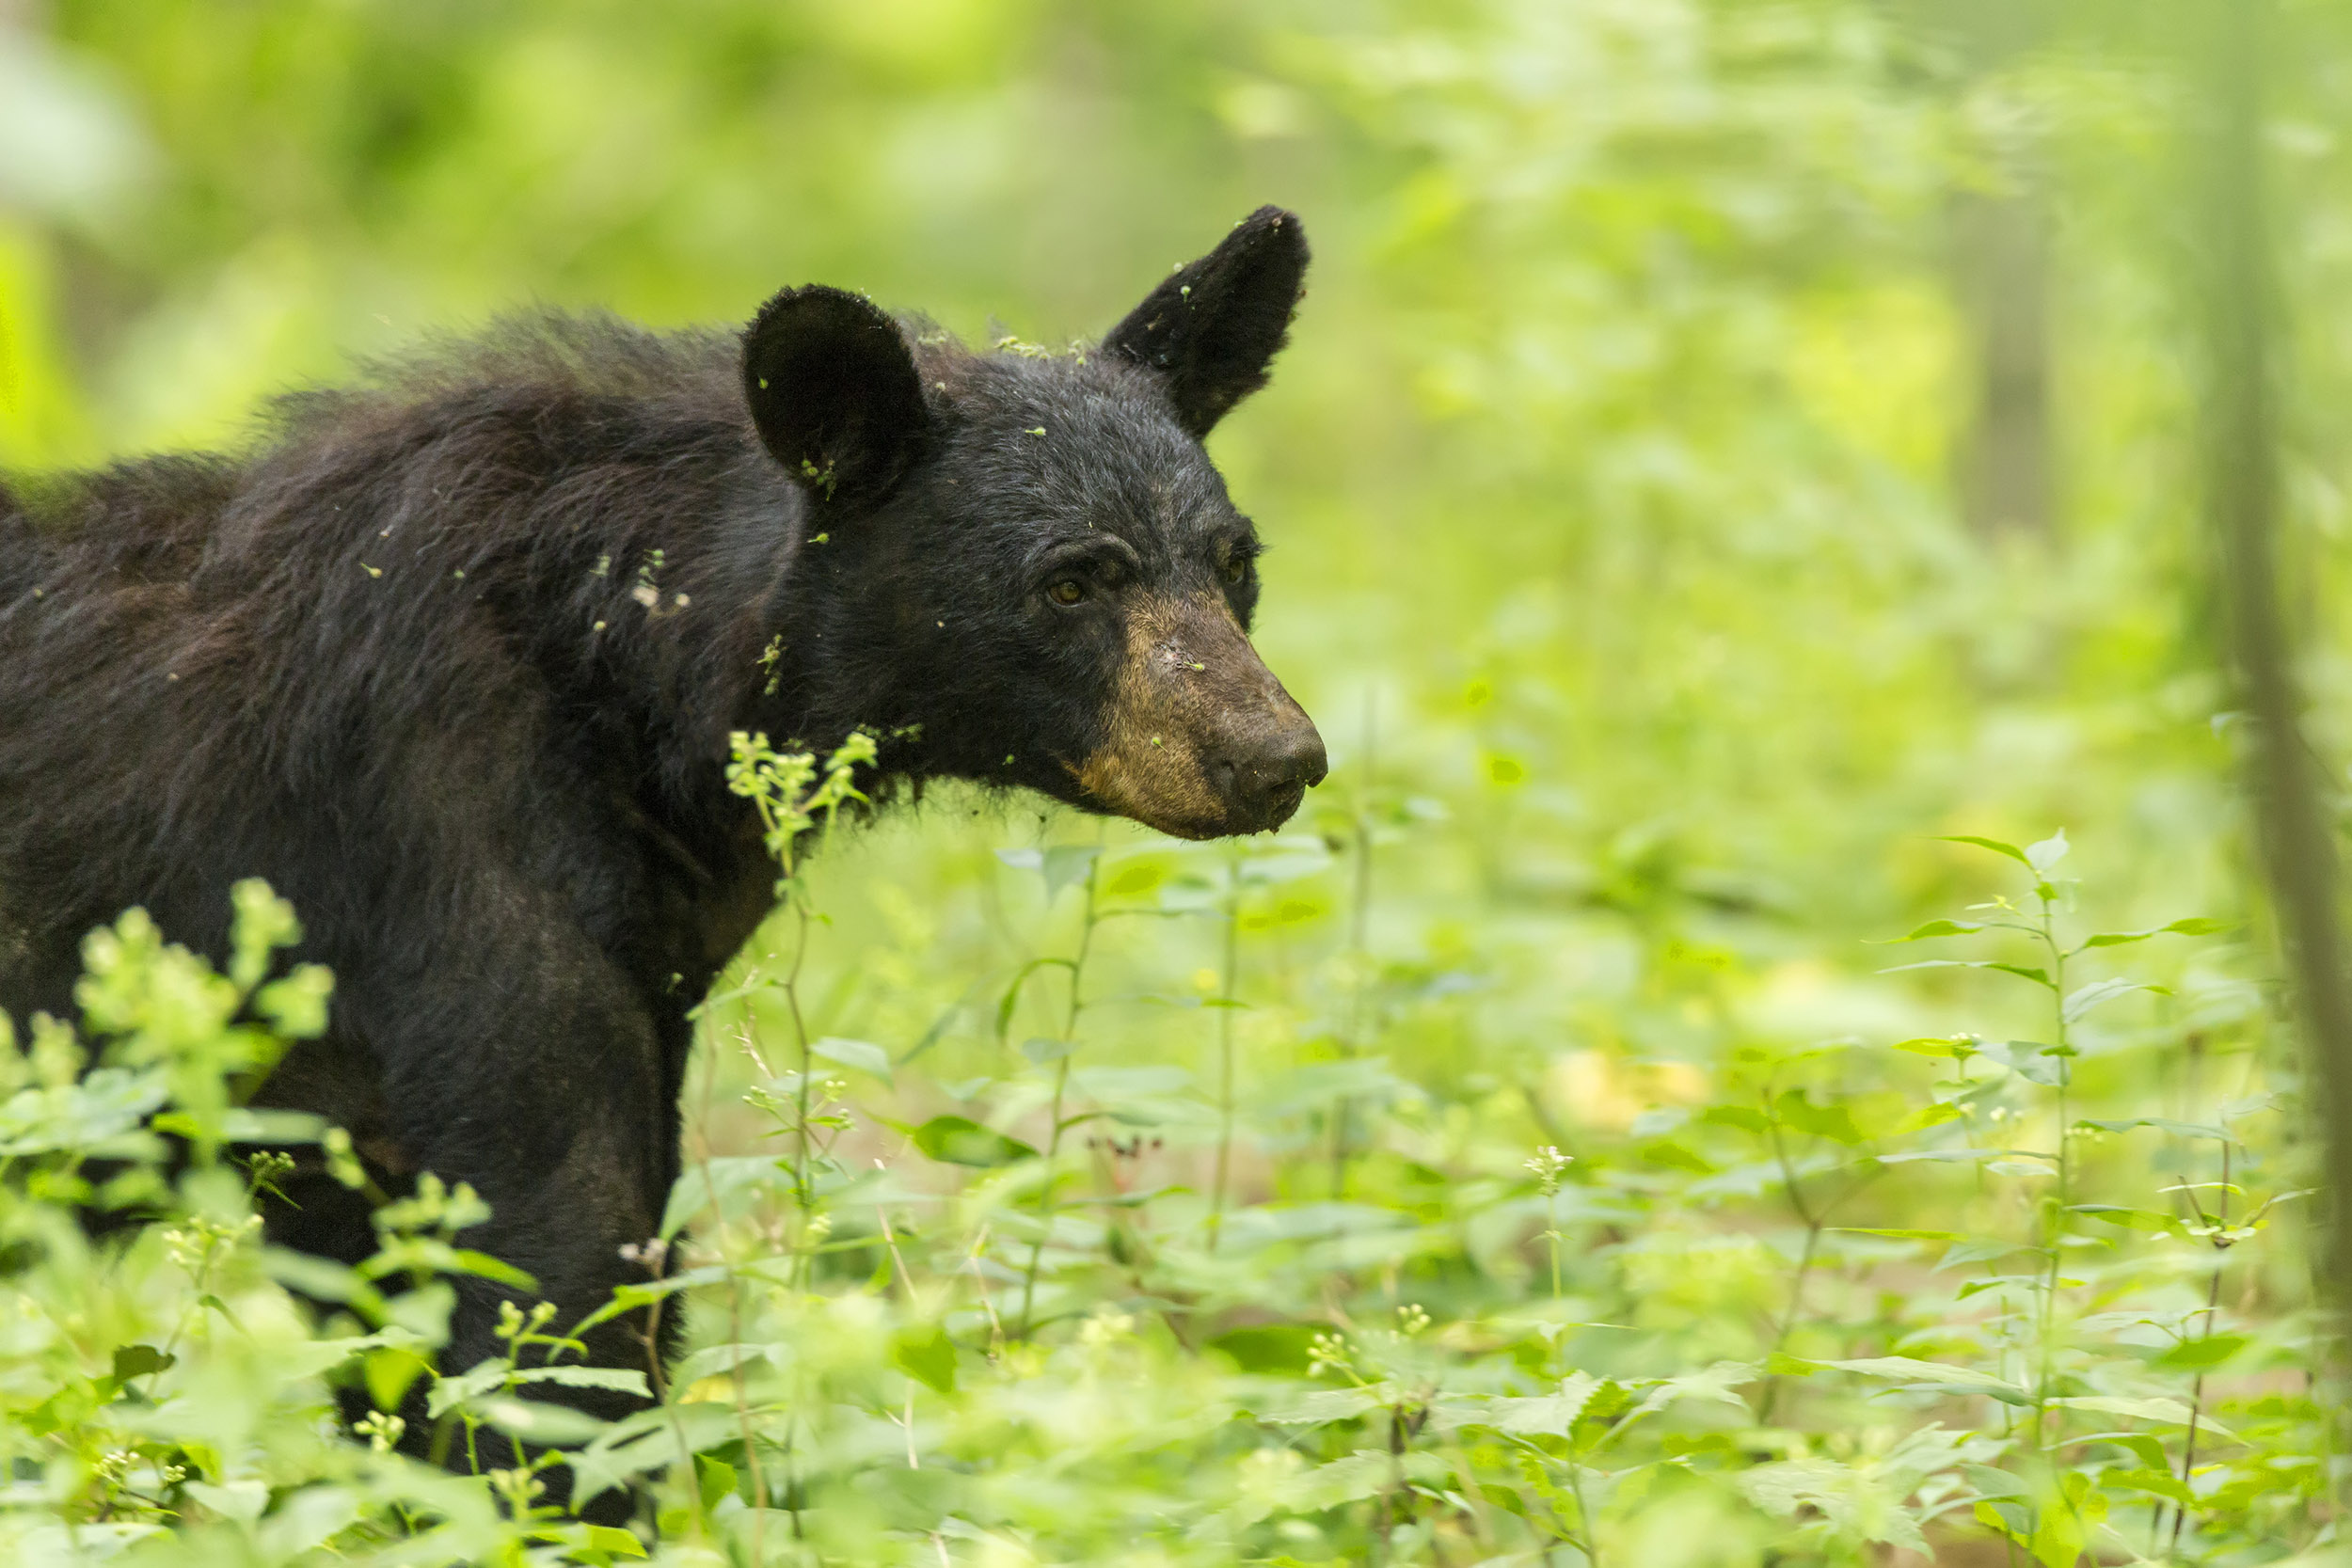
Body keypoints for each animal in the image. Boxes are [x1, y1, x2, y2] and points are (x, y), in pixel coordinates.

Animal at [0, 205, 1327, 1504]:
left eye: (1235, 560)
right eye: (1070, 583)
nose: (1276, 756)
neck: (627, 679)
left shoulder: (623, 976)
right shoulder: (445, 851)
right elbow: (552, 1279)